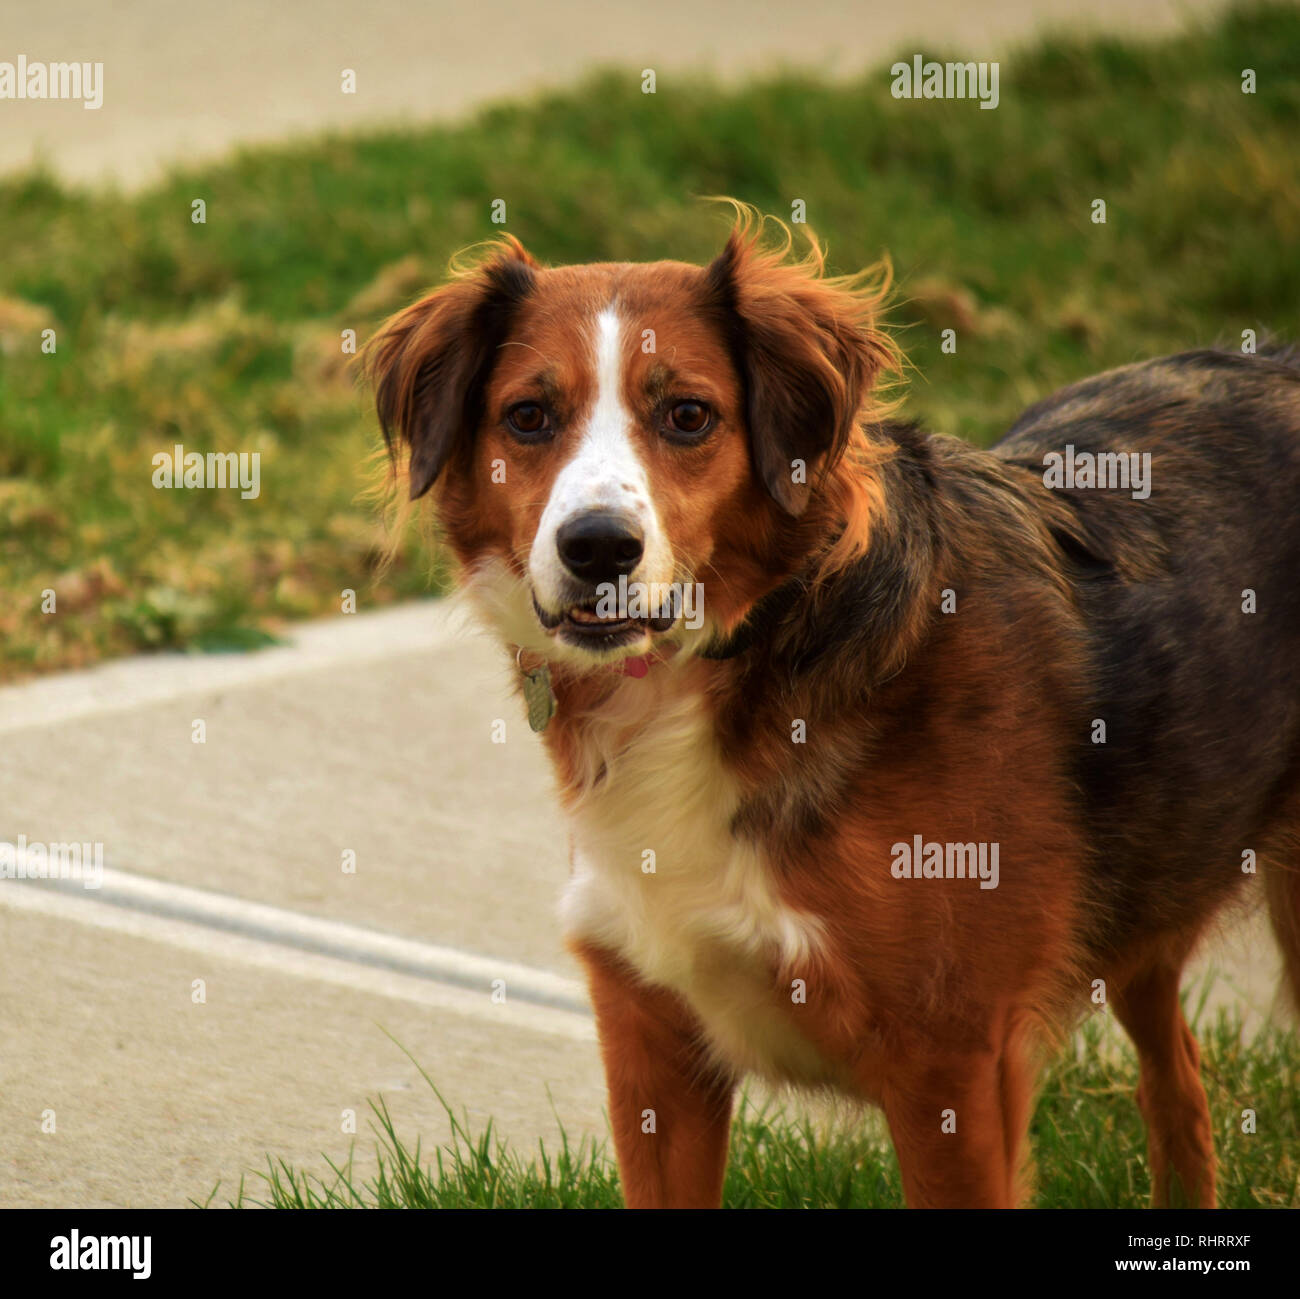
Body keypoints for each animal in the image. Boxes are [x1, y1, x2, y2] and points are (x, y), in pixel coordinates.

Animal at [361, 213, 1300, 1206]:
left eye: (688, 415)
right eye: (528, 416)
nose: (598, 548)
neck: (745, 647)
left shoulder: (955, 1067)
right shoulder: (652, 1047)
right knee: (1178, 1079)